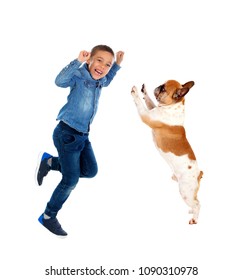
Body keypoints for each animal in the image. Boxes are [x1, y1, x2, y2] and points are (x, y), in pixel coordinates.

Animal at [131, 80, 203, 224]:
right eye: (162, 84)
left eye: (164, 89)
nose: (158, 87)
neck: (173, 106)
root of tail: (199, 174)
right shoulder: (152, 109)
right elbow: (149, 102)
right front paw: (144, 91)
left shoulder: (146, 115)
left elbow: (140, 105)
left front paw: (135, 92)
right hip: (190, 192)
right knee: (196, 200)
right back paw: (192, 212)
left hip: (185, 191)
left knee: (198, 204)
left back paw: (194, 219)